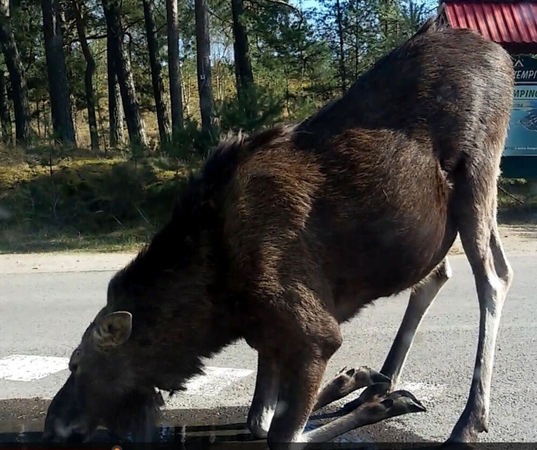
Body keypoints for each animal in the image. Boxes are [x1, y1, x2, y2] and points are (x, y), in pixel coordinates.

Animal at [43, 16, 516, 446]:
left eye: (76, 363)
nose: (51, 427)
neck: (216, 310)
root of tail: (503, 56)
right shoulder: (268, 335)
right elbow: (261, 418)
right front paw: (356, 382)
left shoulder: (313, 331)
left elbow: (280, 434)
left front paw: (380, 402)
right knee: (439, 274)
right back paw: (383, 380)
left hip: (478, 174)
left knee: (494, 276)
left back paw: (468, 421)